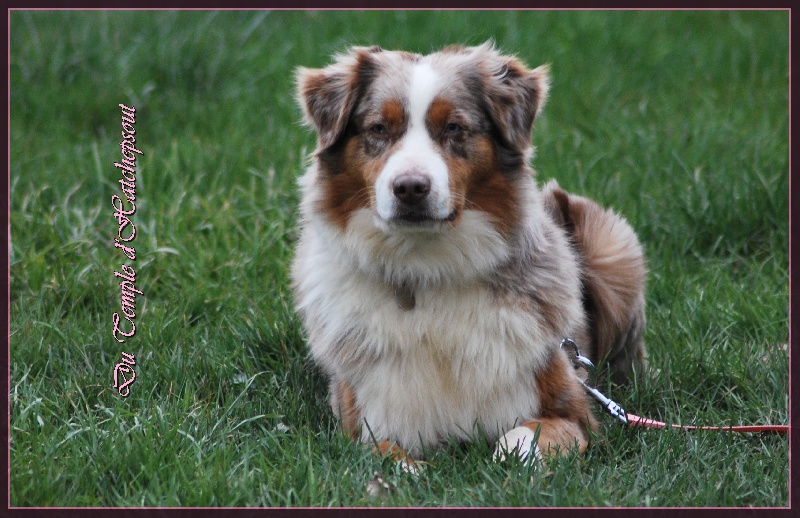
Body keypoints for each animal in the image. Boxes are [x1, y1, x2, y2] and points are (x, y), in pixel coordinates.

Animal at [290, 42, 648, 470]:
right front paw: (410, 469)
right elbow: (385, 455)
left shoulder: (574, 412)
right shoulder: (361, 422)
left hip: (613, 248)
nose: (410, 188)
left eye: (453, 128)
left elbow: (527, 436)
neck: (427, 267)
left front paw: (509, 459)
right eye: (378, 129)